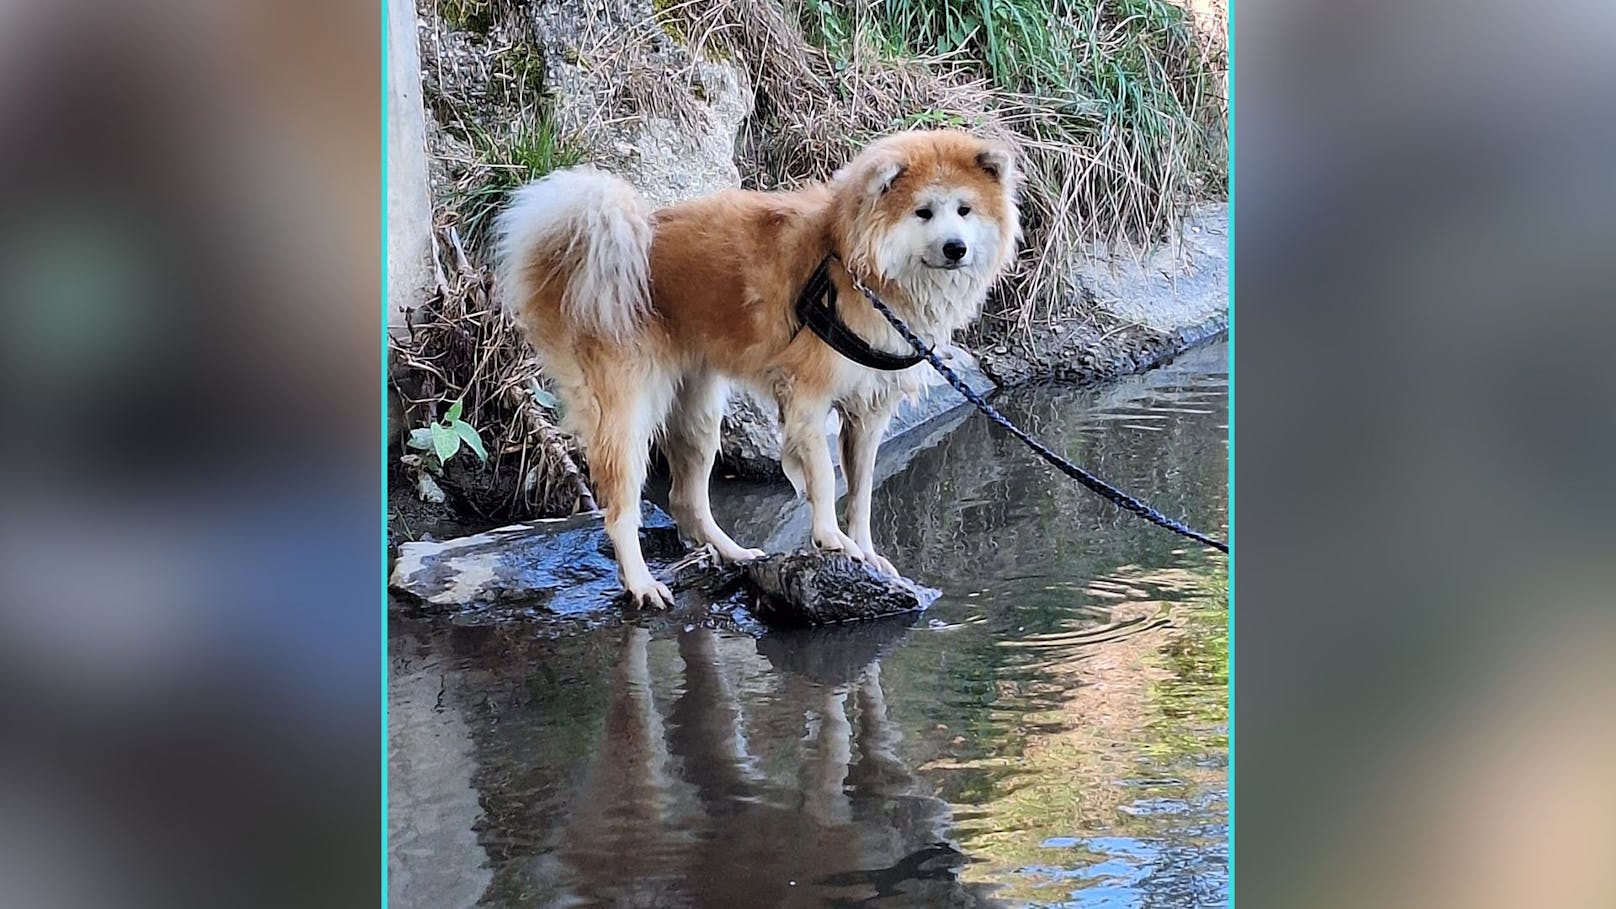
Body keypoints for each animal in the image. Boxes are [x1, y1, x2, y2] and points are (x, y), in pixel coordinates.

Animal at [494, 127, 1021, 604]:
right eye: (923, 212)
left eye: (965, 210)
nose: (956, 248)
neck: (854, 267)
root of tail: (578, 258)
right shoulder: (807, 399)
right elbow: (825, 480)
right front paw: (830, 539)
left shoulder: (868, 412)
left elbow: (863, 492)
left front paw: (867, 552)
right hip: (628, 412)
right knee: (620, 508)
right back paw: (641, 582)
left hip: (698, 411)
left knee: (687, 499)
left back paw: (733, 553)